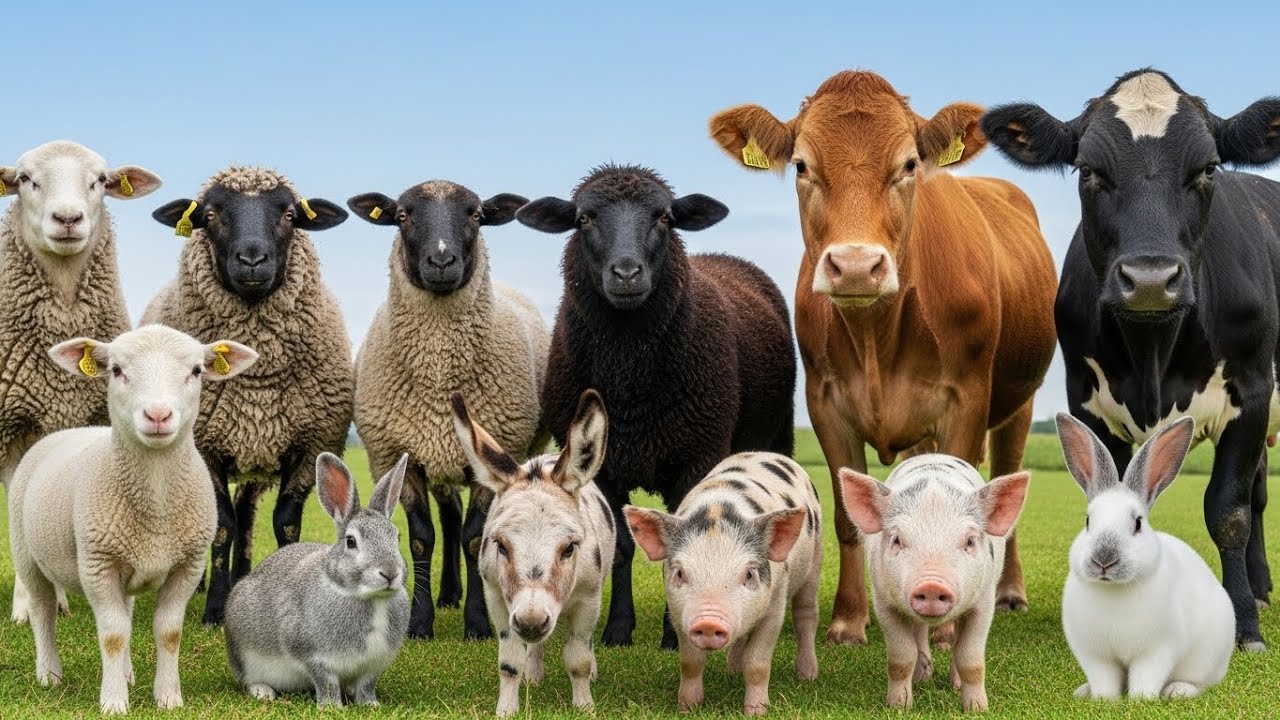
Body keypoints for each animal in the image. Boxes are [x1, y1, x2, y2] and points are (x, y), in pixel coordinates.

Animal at [7, 324, 258, 714]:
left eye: (197, 371)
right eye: (116, 370)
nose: (157, 415)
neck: (155, 505)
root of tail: (67, 432)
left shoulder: (187, 566)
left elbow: (168, 633)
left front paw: (168, 698)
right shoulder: (98, 565)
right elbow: (112, 635)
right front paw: (113, 703)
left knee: (122, 611)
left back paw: (124, 674)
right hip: (27, 553)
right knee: (42, 609)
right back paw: (49, 673)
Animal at [144, 166, 354, 626]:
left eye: (290, 215)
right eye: (209, 215)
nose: (253, 260)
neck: (255, 375)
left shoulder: (310, 445)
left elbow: (283, 525)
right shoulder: (205, 446)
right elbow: (220, 526)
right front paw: (215, 609)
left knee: (247, 517)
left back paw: (244, 576)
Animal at [346, 180, 549, 639]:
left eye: (475, 214)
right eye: (403, 215)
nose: (441, 260)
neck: (439, 373)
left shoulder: (492, 458)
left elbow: (475, 537)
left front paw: (477, 623)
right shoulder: (400, 455)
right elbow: (423, 538)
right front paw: (419, 623)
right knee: (449, 517)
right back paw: (448, 595)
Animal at [517, 165, 797, 648]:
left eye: (665, 217)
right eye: (584, 218)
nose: (627, 273)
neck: (630, 381)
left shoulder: (696, 455)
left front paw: (672, 636)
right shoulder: (602, 468)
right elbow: (622, 547)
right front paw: (618, 629)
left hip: (775, 435)